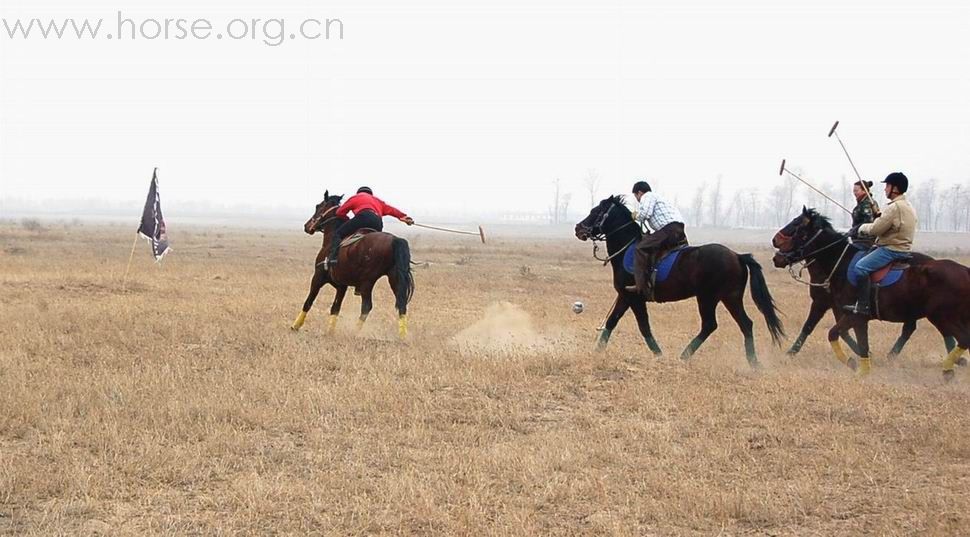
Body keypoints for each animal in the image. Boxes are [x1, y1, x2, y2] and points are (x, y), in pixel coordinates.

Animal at [290, 189, 414, 340]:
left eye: (318, 206)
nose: (307, 226)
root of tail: (395, 240)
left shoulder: (318, 278)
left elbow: (308, 302)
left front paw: (295, 326)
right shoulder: (342, 286)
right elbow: (335, 308)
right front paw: (330, 331)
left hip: (368, 281)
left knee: (367, 306)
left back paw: (355, 332)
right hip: (394, 278)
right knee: (401, 304)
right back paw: (402, 336)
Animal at [572, 195, 784, 366]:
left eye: (596, 212)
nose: (577, 229)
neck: (627, 249)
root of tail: (738, 256)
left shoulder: (635, 297)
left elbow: (643, 326)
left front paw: (659, 354)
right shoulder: (625, 297)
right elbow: (612, 321)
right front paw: (597, 351)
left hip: (713, 297)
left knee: (719, 324)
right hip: (724, 297)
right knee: (737, 324)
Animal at [772, 207, 968, 378]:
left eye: (797, 226)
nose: (776, 253)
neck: (841, 264)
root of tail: (965, 271)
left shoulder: (841, 310)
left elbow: (821, 330)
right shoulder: (843, 310)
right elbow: (849, 337)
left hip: (940, 316)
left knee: (954, 336)